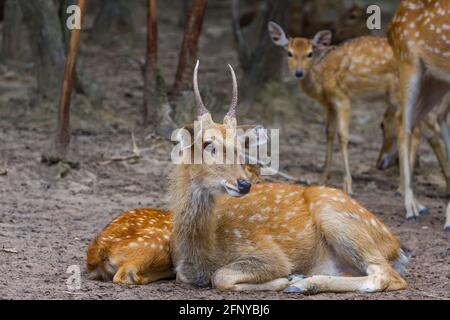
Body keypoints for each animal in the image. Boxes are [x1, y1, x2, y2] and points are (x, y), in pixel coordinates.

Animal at [169, 60, 408, 296]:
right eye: (208, 144)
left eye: (239, 147)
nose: (244, 184)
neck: (204, 250)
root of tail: (396, 245)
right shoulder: (181, 268)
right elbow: (189, 275)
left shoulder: (268, 251)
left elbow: (221, 277)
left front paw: (289, 278)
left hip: (336, 216)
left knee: (387, 275)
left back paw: (303, 283)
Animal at [386, 0, 450, 228]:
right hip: (408, 61)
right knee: (404, 125)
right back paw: (410, 207)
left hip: (436, 77)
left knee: (414, 119)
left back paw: (418, 203)